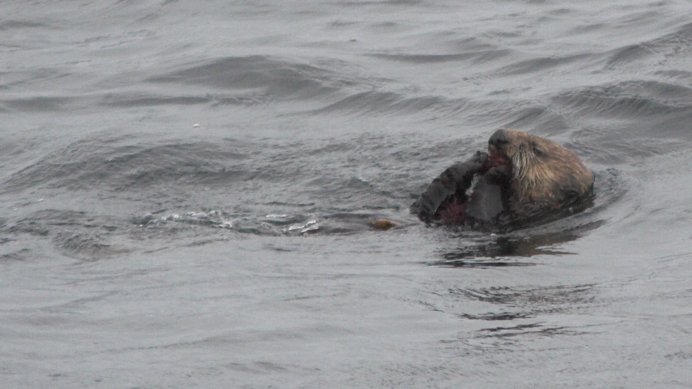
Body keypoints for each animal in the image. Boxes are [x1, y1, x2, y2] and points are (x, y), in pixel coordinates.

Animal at [410, 129, 596, 229]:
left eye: (536, 149)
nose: (499, 136)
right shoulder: (427, 211)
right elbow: (426, 202)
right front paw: (476, 159)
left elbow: (482, 207)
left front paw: (498, 172)